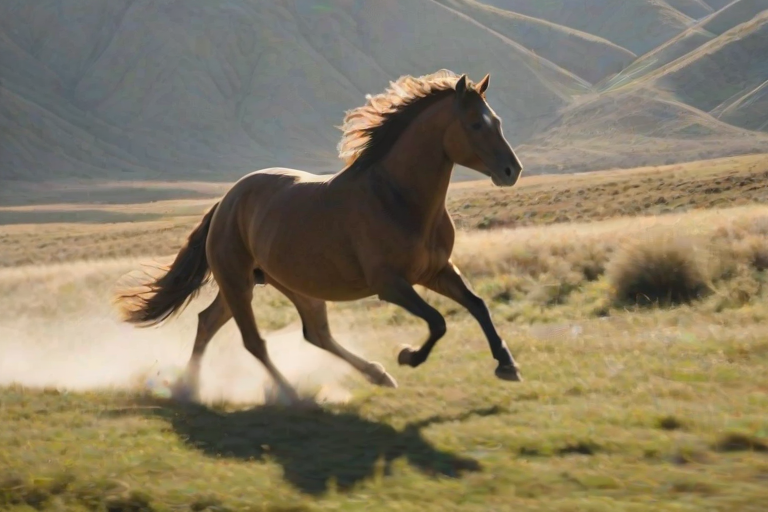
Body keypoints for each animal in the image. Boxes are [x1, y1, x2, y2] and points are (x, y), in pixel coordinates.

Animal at [114, 69, 524, 404]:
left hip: (284, 284)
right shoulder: (390, 284)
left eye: (498, 121)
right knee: (253, 340)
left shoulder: (437, 271)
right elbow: (438, 321)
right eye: (475, 124)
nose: (512, 170)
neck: (397, 197)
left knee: (269, 328)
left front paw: (507, 365)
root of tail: (226, 202)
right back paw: (288, 394)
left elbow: (477, 305)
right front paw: (409, 356)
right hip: (238, 282)